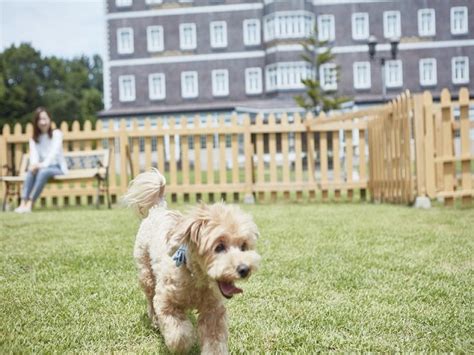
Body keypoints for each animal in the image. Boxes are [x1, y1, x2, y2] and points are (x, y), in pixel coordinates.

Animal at [122, 169, 262, 354]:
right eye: (219, 247)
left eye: (243, 246)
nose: (244, 269)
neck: (196, 278)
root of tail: (158, 208)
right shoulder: (165, 301)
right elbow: (179, 334)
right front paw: (184, 344)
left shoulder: (213, 311)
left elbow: (214, 342)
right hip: (146, 273)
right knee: (150, 298)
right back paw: (155, 322)